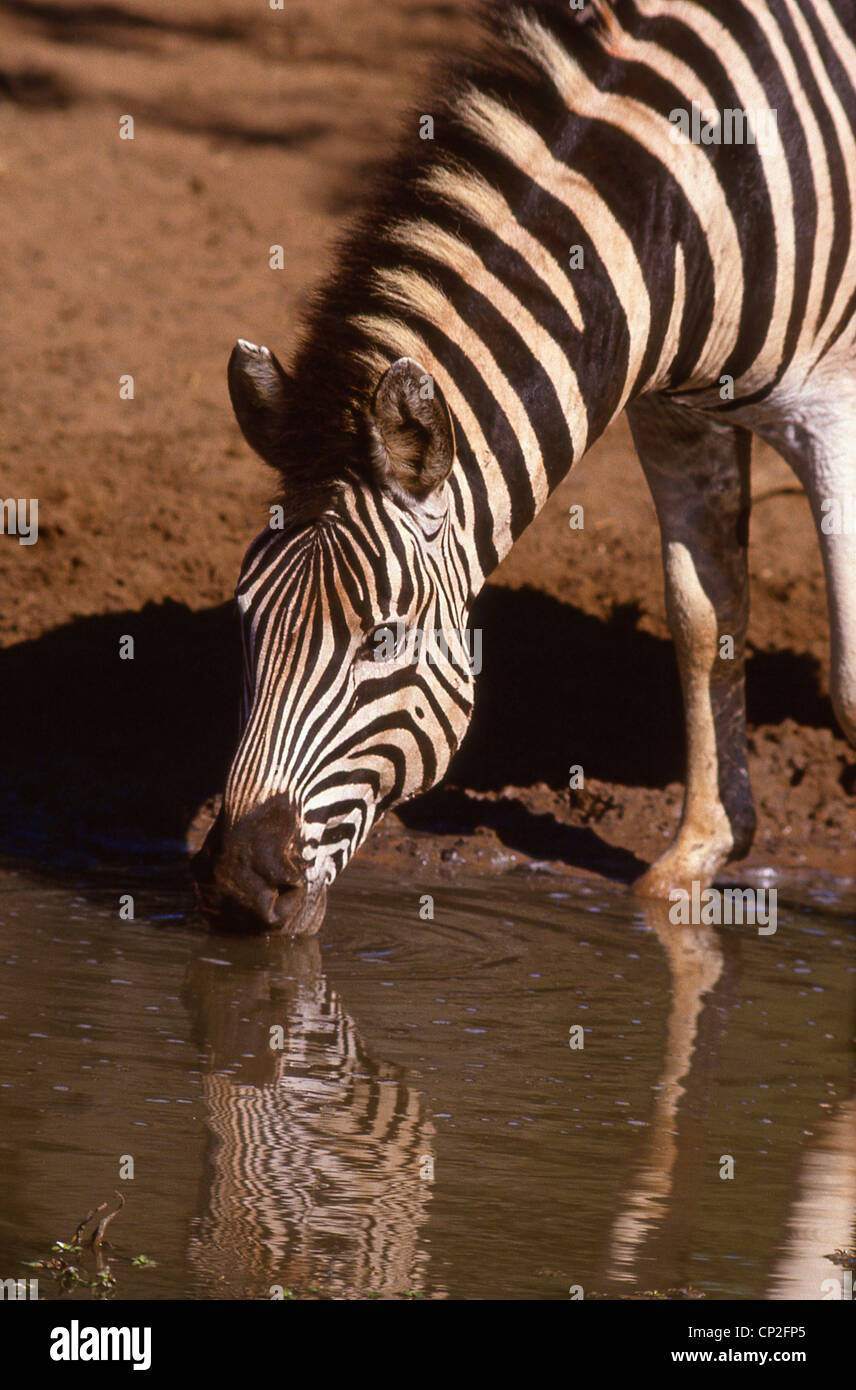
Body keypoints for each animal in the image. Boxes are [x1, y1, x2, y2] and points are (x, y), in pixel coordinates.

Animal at [194, 0, 856, 933]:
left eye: (382, 638)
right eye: (245, 619)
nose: (236, 888)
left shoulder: (834, 406)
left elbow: (851, 683)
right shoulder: (674, 413)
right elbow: (704, 621)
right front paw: (697, 856)